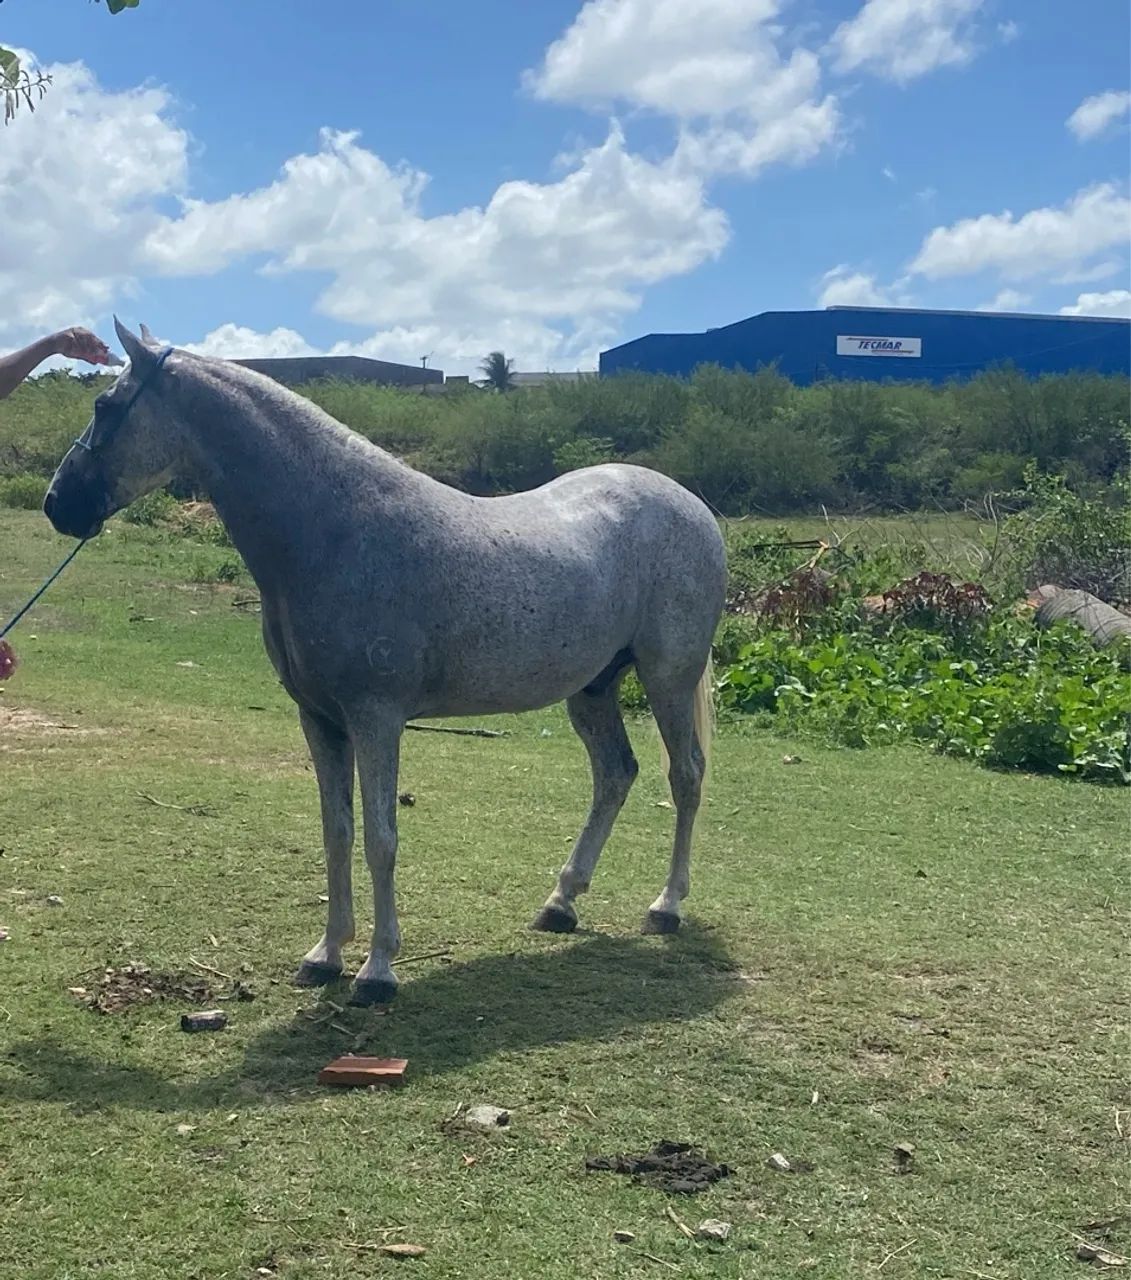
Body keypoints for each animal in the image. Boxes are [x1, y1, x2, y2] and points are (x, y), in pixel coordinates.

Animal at [44, 320, 727, 1006]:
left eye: (104, 406)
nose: (57, 504)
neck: (336, 532)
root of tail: (693, 506)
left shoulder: (376, 719)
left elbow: (380, 839)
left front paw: (377, 970)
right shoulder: (320, 720)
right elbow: (337, 833)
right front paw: (325, 955)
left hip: (668, 677)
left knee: (686, 776)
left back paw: (666, 907)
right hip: (592, 689)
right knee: (615, 774)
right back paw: (560, 903)